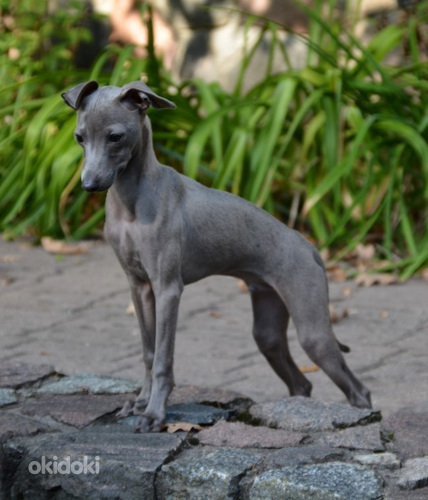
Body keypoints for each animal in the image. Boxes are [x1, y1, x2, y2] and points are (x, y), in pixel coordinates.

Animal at [62, 80, 372, 432]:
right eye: (79, 137)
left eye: (115, 136)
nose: (89, 185)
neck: (132, 202)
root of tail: (310, 247)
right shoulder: (138, 286)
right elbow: (148, 351)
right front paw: (140, 403)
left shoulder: (167, 289)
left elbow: (162, 358)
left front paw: (154, 413)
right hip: (267, 329)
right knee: (301, 383)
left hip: (313, 331)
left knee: (358, 389)